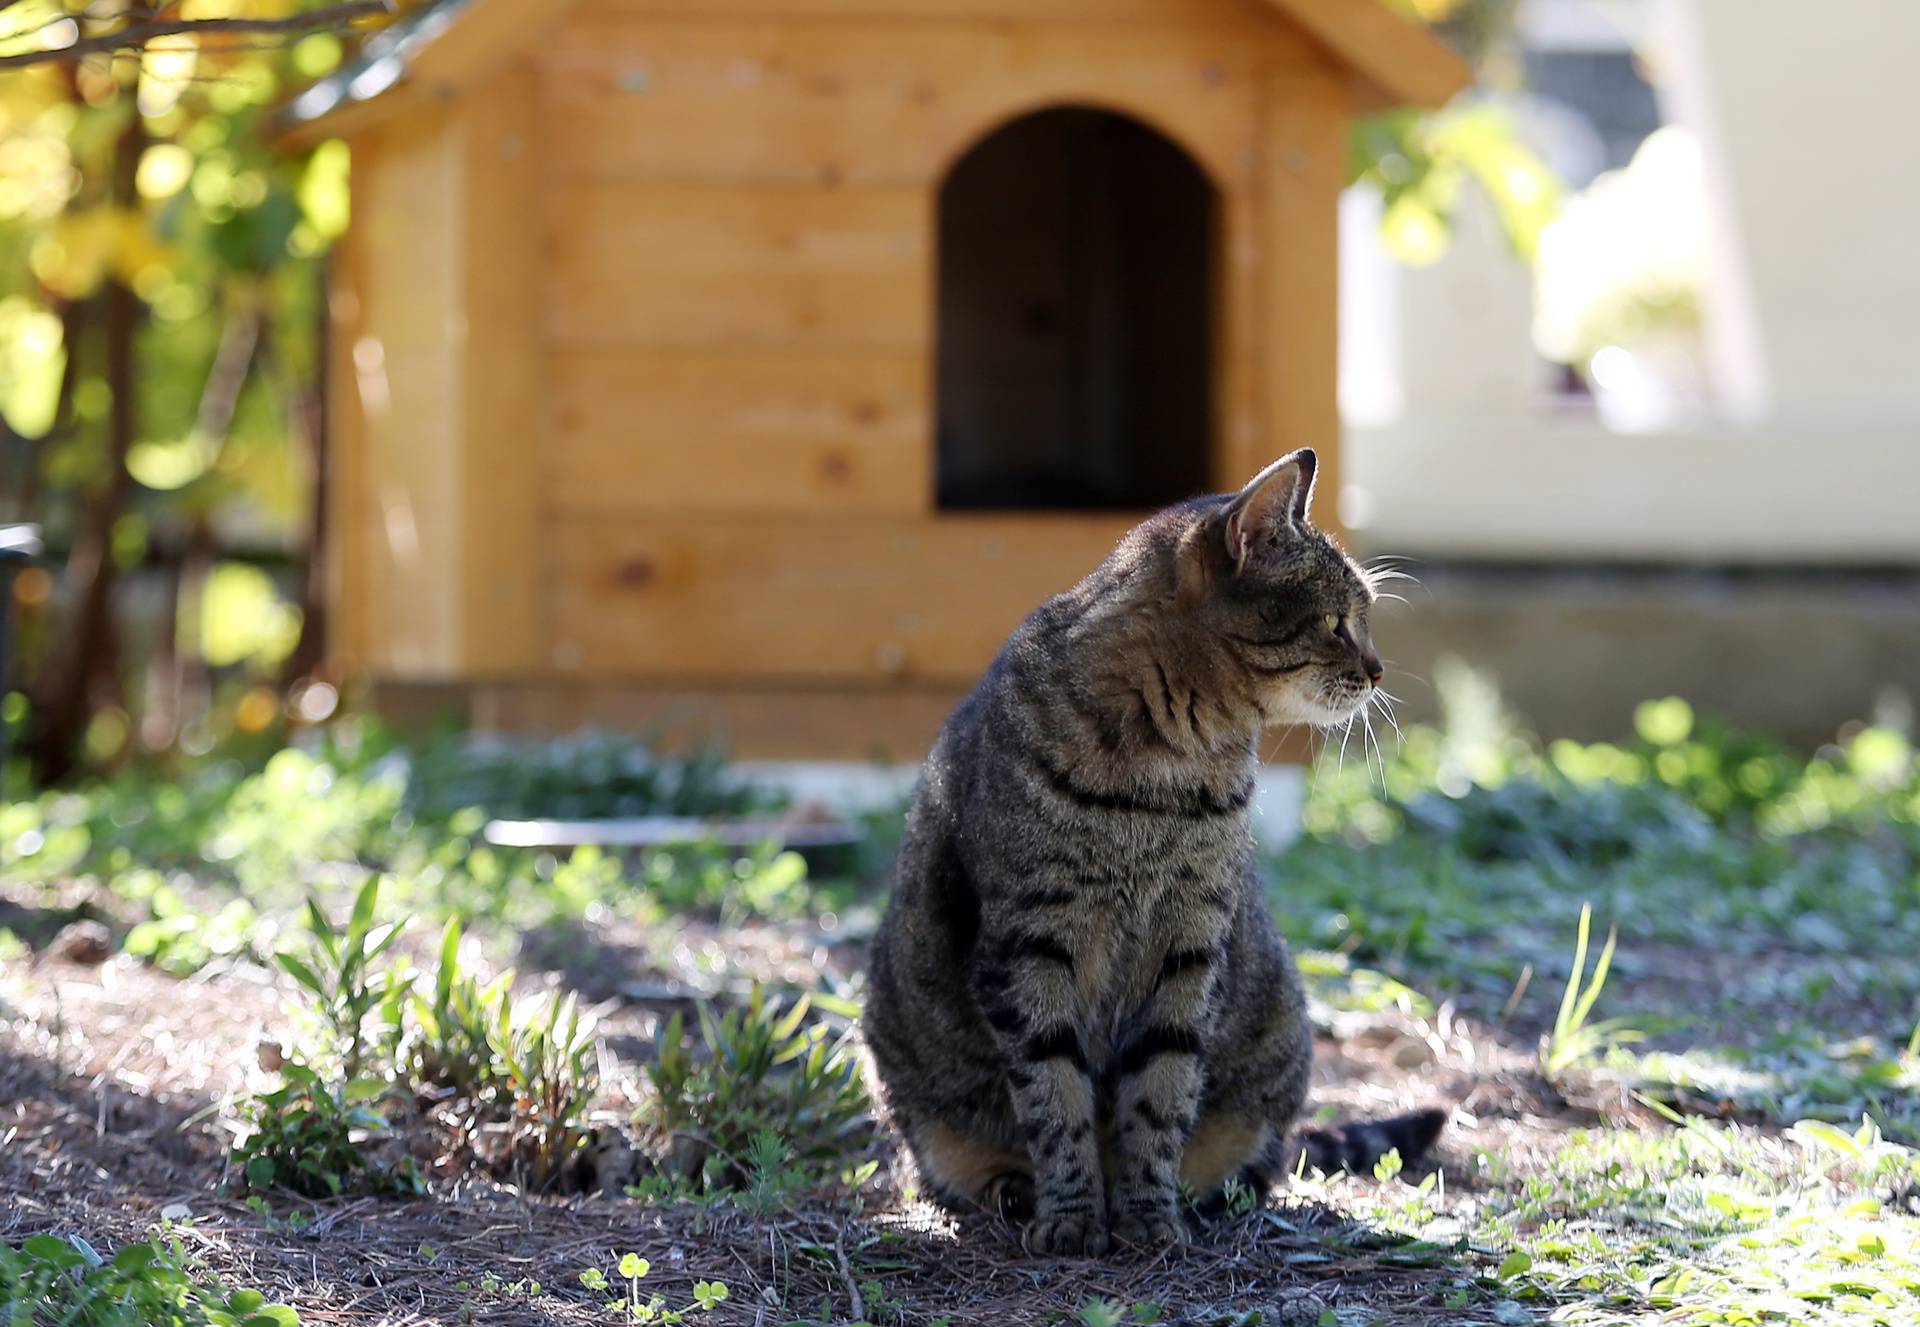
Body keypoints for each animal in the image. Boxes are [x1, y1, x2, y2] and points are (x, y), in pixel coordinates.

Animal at [867, 449, 1443, 1259]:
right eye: (1337, 622)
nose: (1379, 669)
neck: (1169, 774)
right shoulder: (1032, 942)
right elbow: (1055, 1093)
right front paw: (1074, 1216)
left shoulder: (1190, 942)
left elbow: (1161, 1090)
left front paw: (1147, 1215)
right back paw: (1014, 1190)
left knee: (1262, 1156)